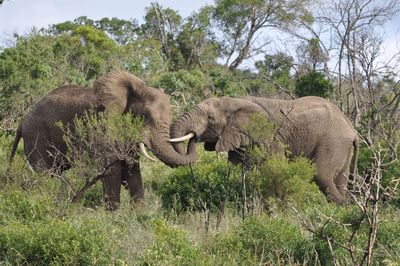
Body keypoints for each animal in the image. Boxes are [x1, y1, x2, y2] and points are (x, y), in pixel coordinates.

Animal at [8, 70, 197, 210]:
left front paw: (139, 215)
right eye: (144, 116)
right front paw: (114, 216)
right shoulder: (104, 125)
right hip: (36, 136)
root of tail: (23, 121)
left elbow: (132, 170)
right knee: (46, 174)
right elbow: (113, 170)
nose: (195, 134)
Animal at [170, 96, 358, 206]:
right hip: (342, 146)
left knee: (322, 175)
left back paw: (343, 208)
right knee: (339, 180)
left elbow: (275, 166)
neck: (235, 100)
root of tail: (352, 129)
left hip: (333, 142)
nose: (194, 137)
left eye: (210, 119)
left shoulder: (269, 136)